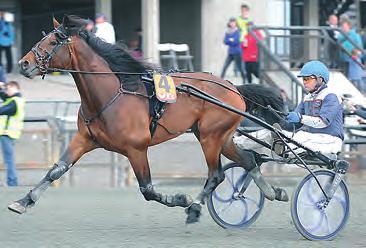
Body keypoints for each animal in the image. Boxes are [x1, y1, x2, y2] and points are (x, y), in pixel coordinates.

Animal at [8, 16, 288, 224]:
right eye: (43, 37)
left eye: (54, 40)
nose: (23, 63)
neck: (111, 95)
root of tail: (233, 87)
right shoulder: (84, 139)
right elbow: (56, 169)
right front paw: (23, 202)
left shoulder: (136, 149)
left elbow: (148, 190)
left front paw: (182, 199)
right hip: (219, 136)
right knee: (248, 160)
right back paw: (274, 192)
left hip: (211, 138)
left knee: (216, 175)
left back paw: (195, 207)